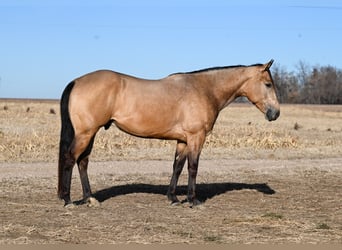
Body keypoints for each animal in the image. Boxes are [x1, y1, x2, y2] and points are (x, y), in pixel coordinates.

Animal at [57, 60, 280, 207]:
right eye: (268, 84)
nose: (275, 113)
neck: (204, 89)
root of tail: (77, 81)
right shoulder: (196, 137)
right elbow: (193, 167)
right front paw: (193, 200)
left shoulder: (182, 140)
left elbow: (177, 167)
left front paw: (172, 198)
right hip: (85, 133)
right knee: (70, 159)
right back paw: (68, 200)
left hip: (90, 134)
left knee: (83, 162)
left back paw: (89, 198)